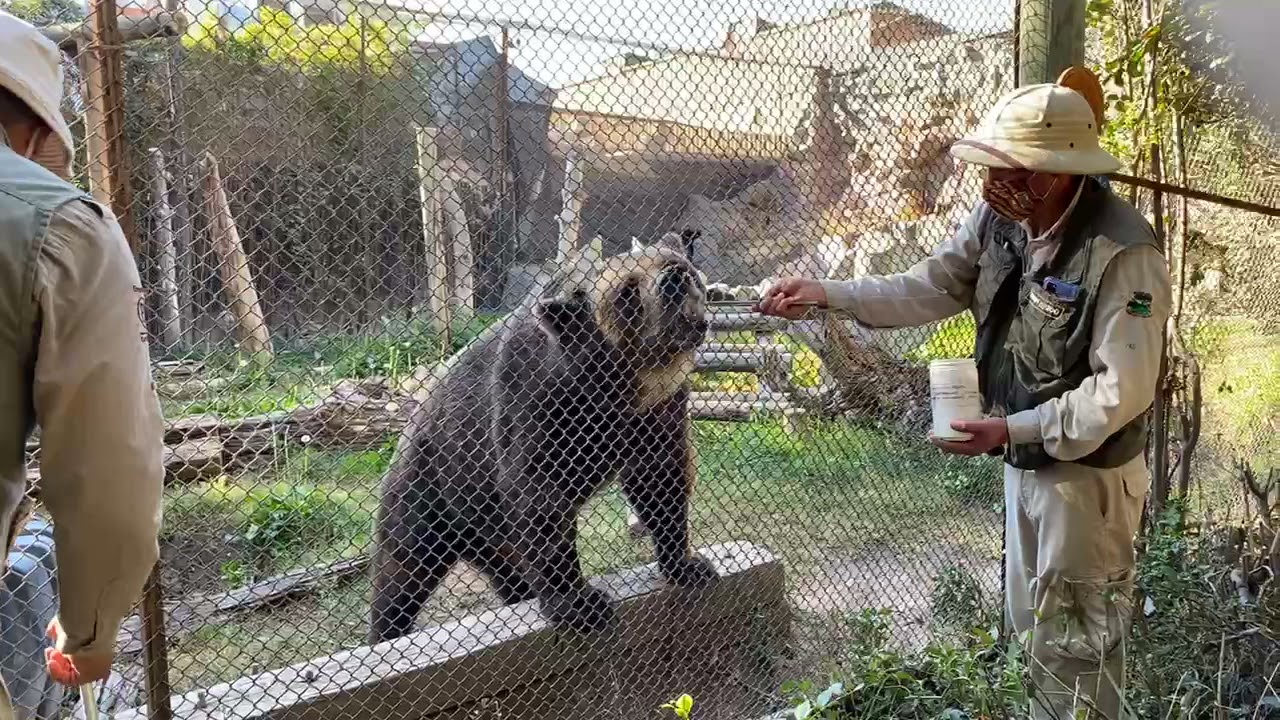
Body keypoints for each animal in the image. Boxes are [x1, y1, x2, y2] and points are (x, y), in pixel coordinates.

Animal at [368, 232, 719, 644]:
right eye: (627, 290)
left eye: (681, 267)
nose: (673, 280)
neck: (616, 392)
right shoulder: (534, 404)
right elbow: (540, 498)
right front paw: (581, 604)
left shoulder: (657, 412)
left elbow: (661, 478)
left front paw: (688, 564)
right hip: (432, 486)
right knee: (402, 570)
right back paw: (387, 630)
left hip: (487, 527)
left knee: (509, 572)